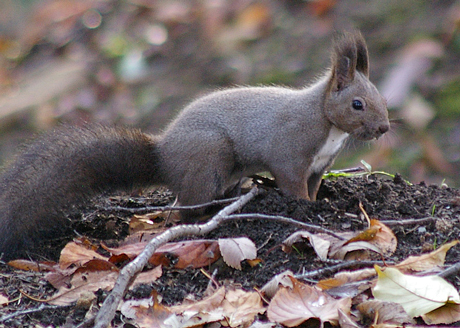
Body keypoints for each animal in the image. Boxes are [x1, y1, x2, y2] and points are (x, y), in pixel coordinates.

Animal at [0, 32, 390, 260]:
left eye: (381, 96)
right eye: (357, 104)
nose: (384, 128)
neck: (325, 121)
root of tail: (163, 156)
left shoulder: (318, 166)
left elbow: (313, 186)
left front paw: (315, 202)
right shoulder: (290, 153)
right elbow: (293, 186)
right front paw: (304, 209)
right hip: (210, 156)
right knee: (185, 211)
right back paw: (213, 213)